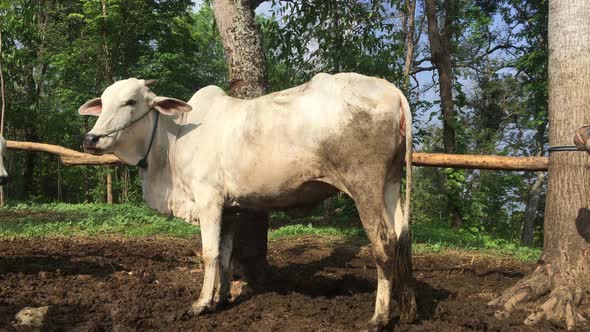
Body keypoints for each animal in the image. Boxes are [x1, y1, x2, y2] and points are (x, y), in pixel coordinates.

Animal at [80, 73, 416, 330]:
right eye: (103, 101)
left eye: (131, 101)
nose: (90, 138)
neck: (172, 141)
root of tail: (392, 90)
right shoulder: (231, 208)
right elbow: (227, 255)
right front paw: (222, 298)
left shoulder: (208, 200)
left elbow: (210, 254)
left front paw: (201, 303)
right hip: (391, 183)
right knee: (402, 237)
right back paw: (407, 309)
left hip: (365, 185)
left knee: (384, 243)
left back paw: (379, 317)